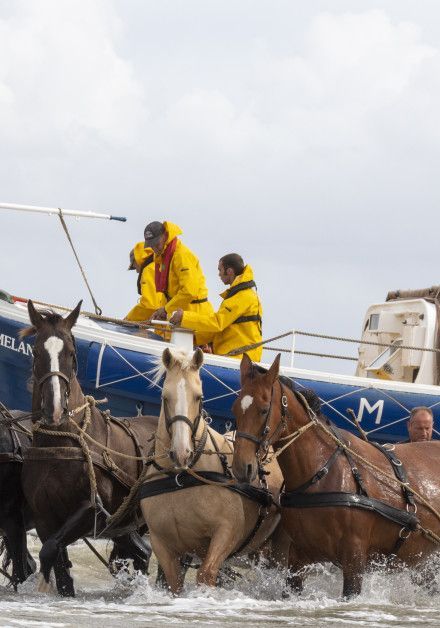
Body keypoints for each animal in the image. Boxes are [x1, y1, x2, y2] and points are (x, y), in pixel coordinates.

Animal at [21, 302, 158, 596]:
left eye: (72, 354)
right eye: (36, 351)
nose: (54, 409)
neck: (61, 443)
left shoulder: (92, 512)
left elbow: (49, 552)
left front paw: (43, 583)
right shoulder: (45, 519)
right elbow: (59, 565)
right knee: (141, 552)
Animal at [234, 356, 440, 596]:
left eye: (264, 409)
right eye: (235, 408)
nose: (241, 467)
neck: (322, 472)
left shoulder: (355, 559)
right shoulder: (298, 556)